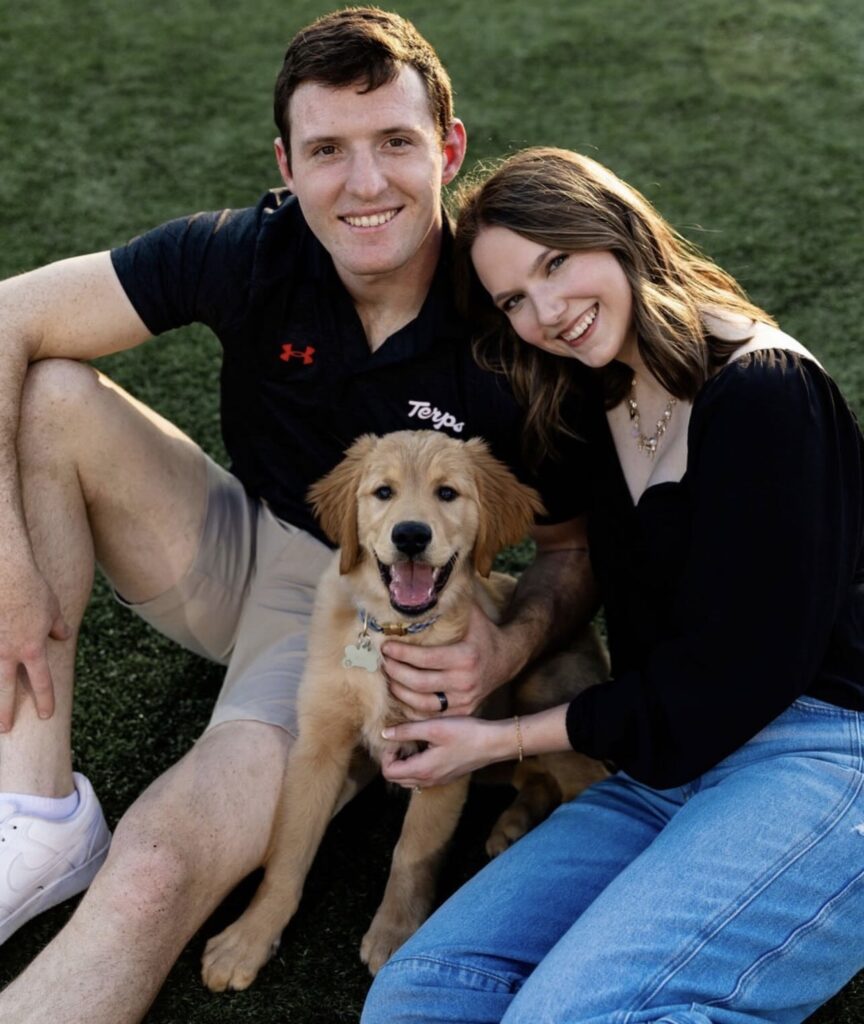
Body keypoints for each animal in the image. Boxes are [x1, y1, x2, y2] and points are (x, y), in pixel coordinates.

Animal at [200, 430, 608, 992]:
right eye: (383, 492)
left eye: (447, 493)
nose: (411, 535)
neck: (393, 631)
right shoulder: (319, 745)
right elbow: (289, 851)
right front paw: (248, 938)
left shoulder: (447, 754)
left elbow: (412, 851)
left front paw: (394, 933)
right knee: (537, 779)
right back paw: (513, 826)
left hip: (540, 690)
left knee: (590, 781)